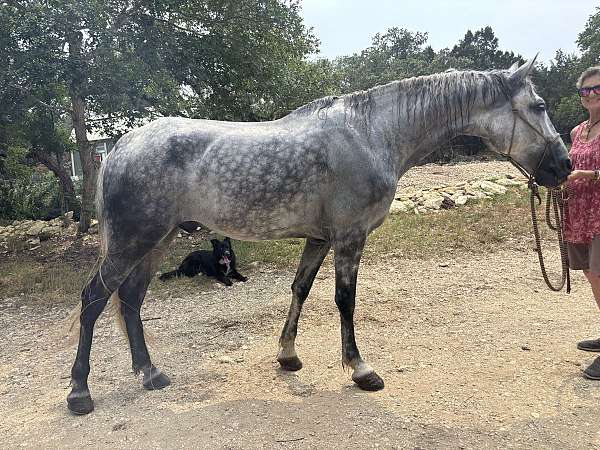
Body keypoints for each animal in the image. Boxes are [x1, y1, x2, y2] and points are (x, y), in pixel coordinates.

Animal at [67, 58, 572, 414]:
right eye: (539, 106)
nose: (564, 165)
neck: (371, 134)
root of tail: (119, 147)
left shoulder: (320, 238)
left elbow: (301, 289)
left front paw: (288, 356)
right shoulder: (349, 236)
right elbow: (344, 300)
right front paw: (360, 369)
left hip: (158, 242)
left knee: (130, 300)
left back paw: (149, 373)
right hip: (134, 241)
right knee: (94, 299)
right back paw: (79, 392)